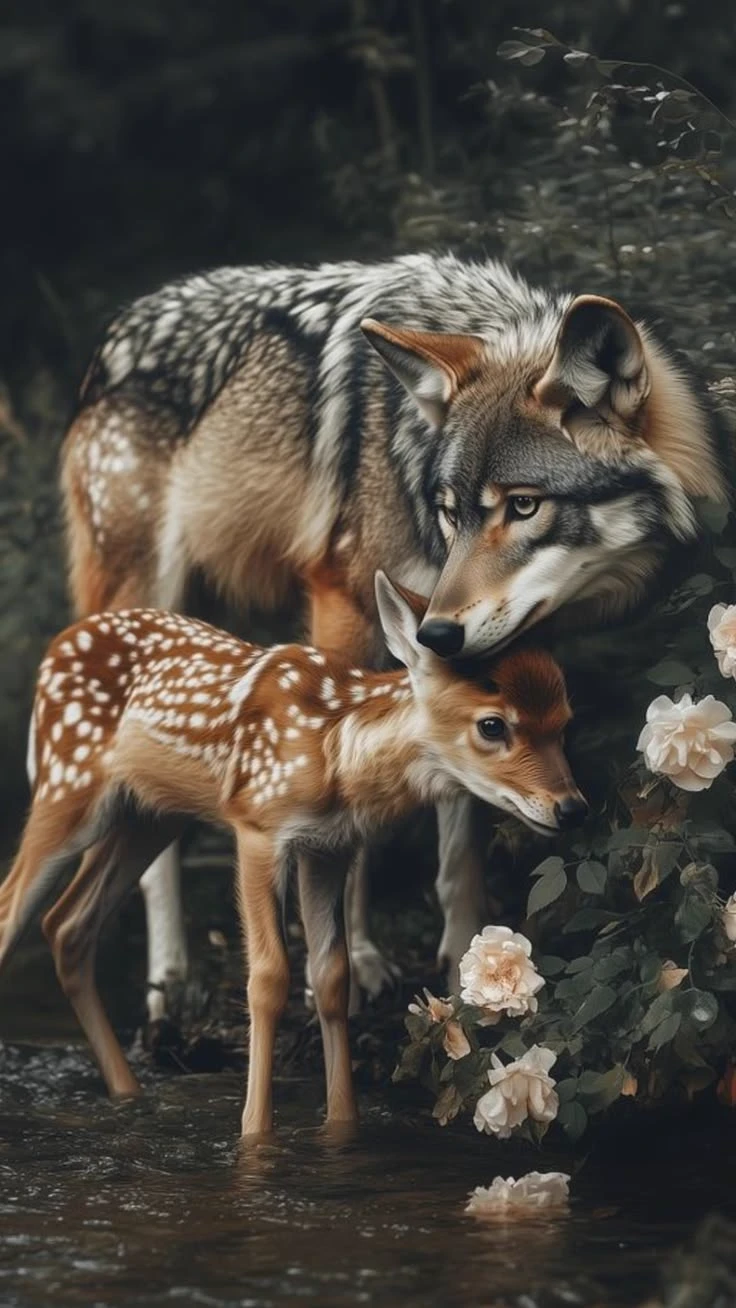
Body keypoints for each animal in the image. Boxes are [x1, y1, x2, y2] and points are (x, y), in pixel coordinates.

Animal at [60, 252, 725, 1019]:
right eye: (451, 511)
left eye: (524, 507)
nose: (437, 631)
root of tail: (116, 334)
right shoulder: (342, 609)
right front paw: (354, 964)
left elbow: (462, 832)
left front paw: (465, 968)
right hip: (148, 602)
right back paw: (169, 981)